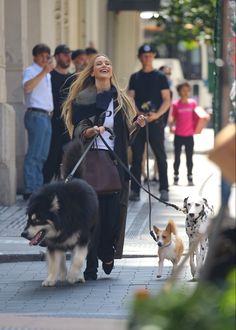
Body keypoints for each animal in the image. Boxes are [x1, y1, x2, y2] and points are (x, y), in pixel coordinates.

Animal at [20, 139, 97, 286]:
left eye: (37, 220)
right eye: (28, 220)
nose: (23, 234)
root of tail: (75, 177)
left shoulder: (83, 239)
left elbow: (78, 259)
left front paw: (73, 276)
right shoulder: (53, 243)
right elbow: (54, 262)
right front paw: (51, 279)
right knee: (60, 259)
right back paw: (61, 275)